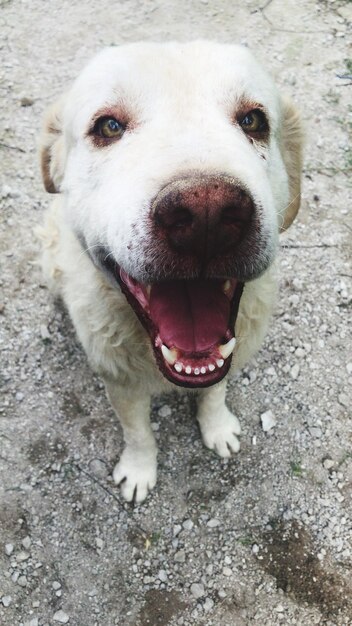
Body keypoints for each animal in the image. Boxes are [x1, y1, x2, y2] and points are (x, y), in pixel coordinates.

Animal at [37, 40, 302, 502]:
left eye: (253, 121)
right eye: (108, 127)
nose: (206, 213)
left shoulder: (223, 359)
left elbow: (215, 391)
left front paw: (217, 428)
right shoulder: (120, 383)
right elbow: (138, 432)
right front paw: (139, 469)